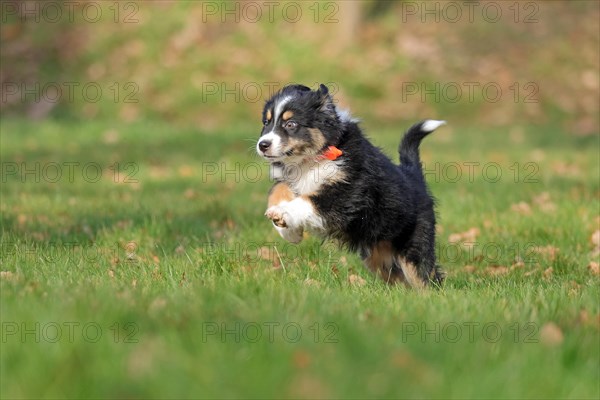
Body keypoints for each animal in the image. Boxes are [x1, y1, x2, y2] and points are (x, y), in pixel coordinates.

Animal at [256, 83, 446, 288]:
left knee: (426, 279)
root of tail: (413, 174)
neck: (311, 160)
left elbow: (307, 201)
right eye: (266, 123)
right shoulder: (288, 179)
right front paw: (289, 232)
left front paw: (282, 214)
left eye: (291, 124)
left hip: (414, 247)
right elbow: (277, 190)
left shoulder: (346, 193)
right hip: (379, 255)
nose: (262, 145)